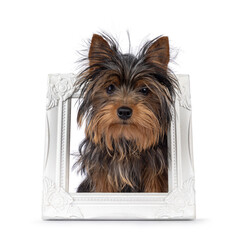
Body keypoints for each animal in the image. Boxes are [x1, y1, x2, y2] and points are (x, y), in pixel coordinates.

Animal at [73, 32, 178, 192]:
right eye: (110, 88)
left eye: (144, 90)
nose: (124, 111)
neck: (126, 142)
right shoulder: (102, 175)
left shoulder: (155, 174)